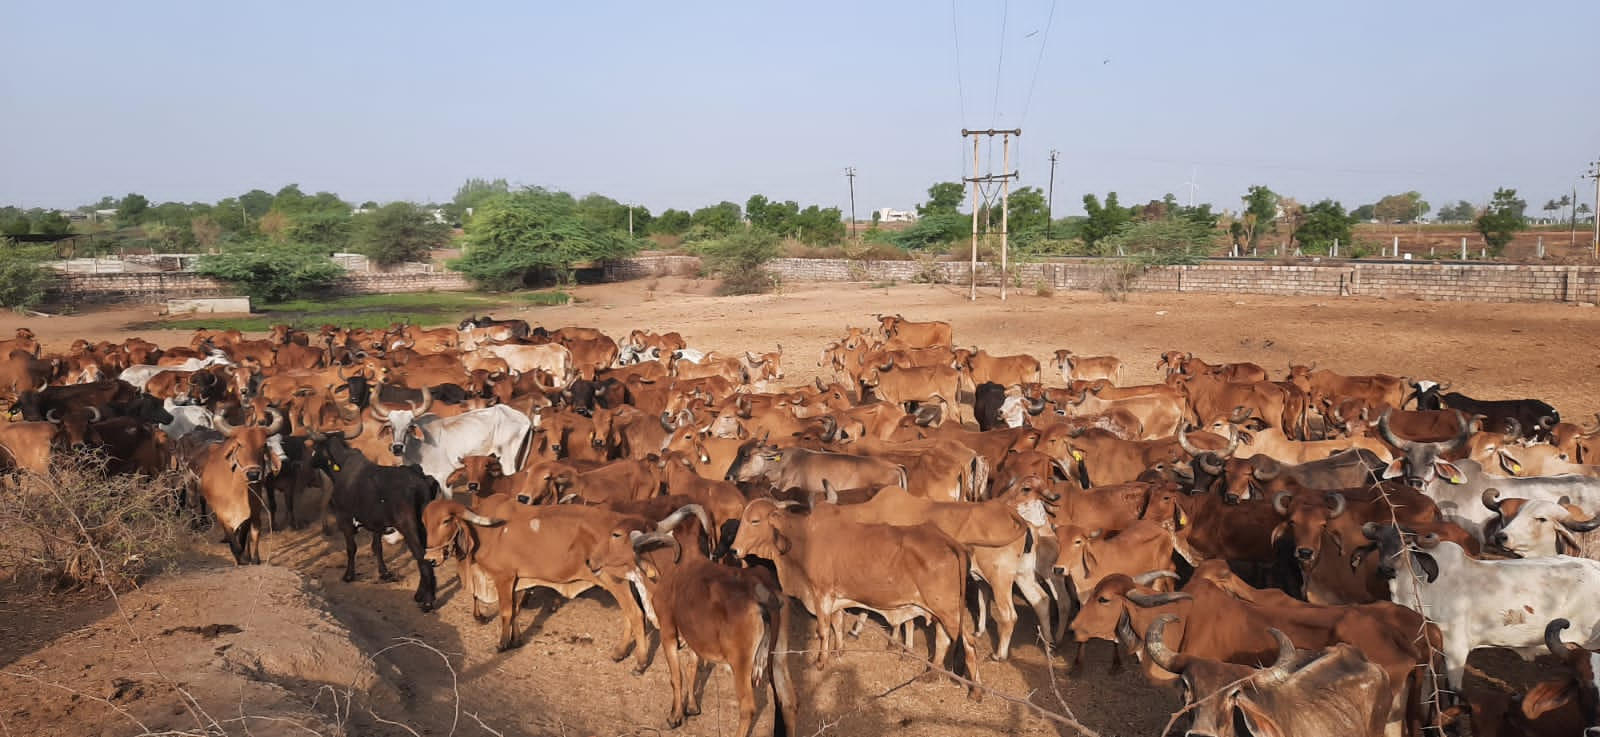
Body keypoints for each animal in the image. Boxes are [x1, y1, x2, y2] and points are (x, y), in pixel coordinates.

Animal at [307, 428, 438, 610]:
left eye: (317, 446)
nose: (310, 462)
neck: (342, 466)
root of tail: (422, 480)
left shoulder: (344, 518)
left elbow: (351, 548)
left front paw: (349, 575)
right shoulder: (377, 523)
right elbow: (377, 547)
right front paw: (384, 573)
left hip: (410, 529)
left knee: (423, 560)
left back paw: (427, 602)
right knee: (425, 559)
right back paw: (420, 595)